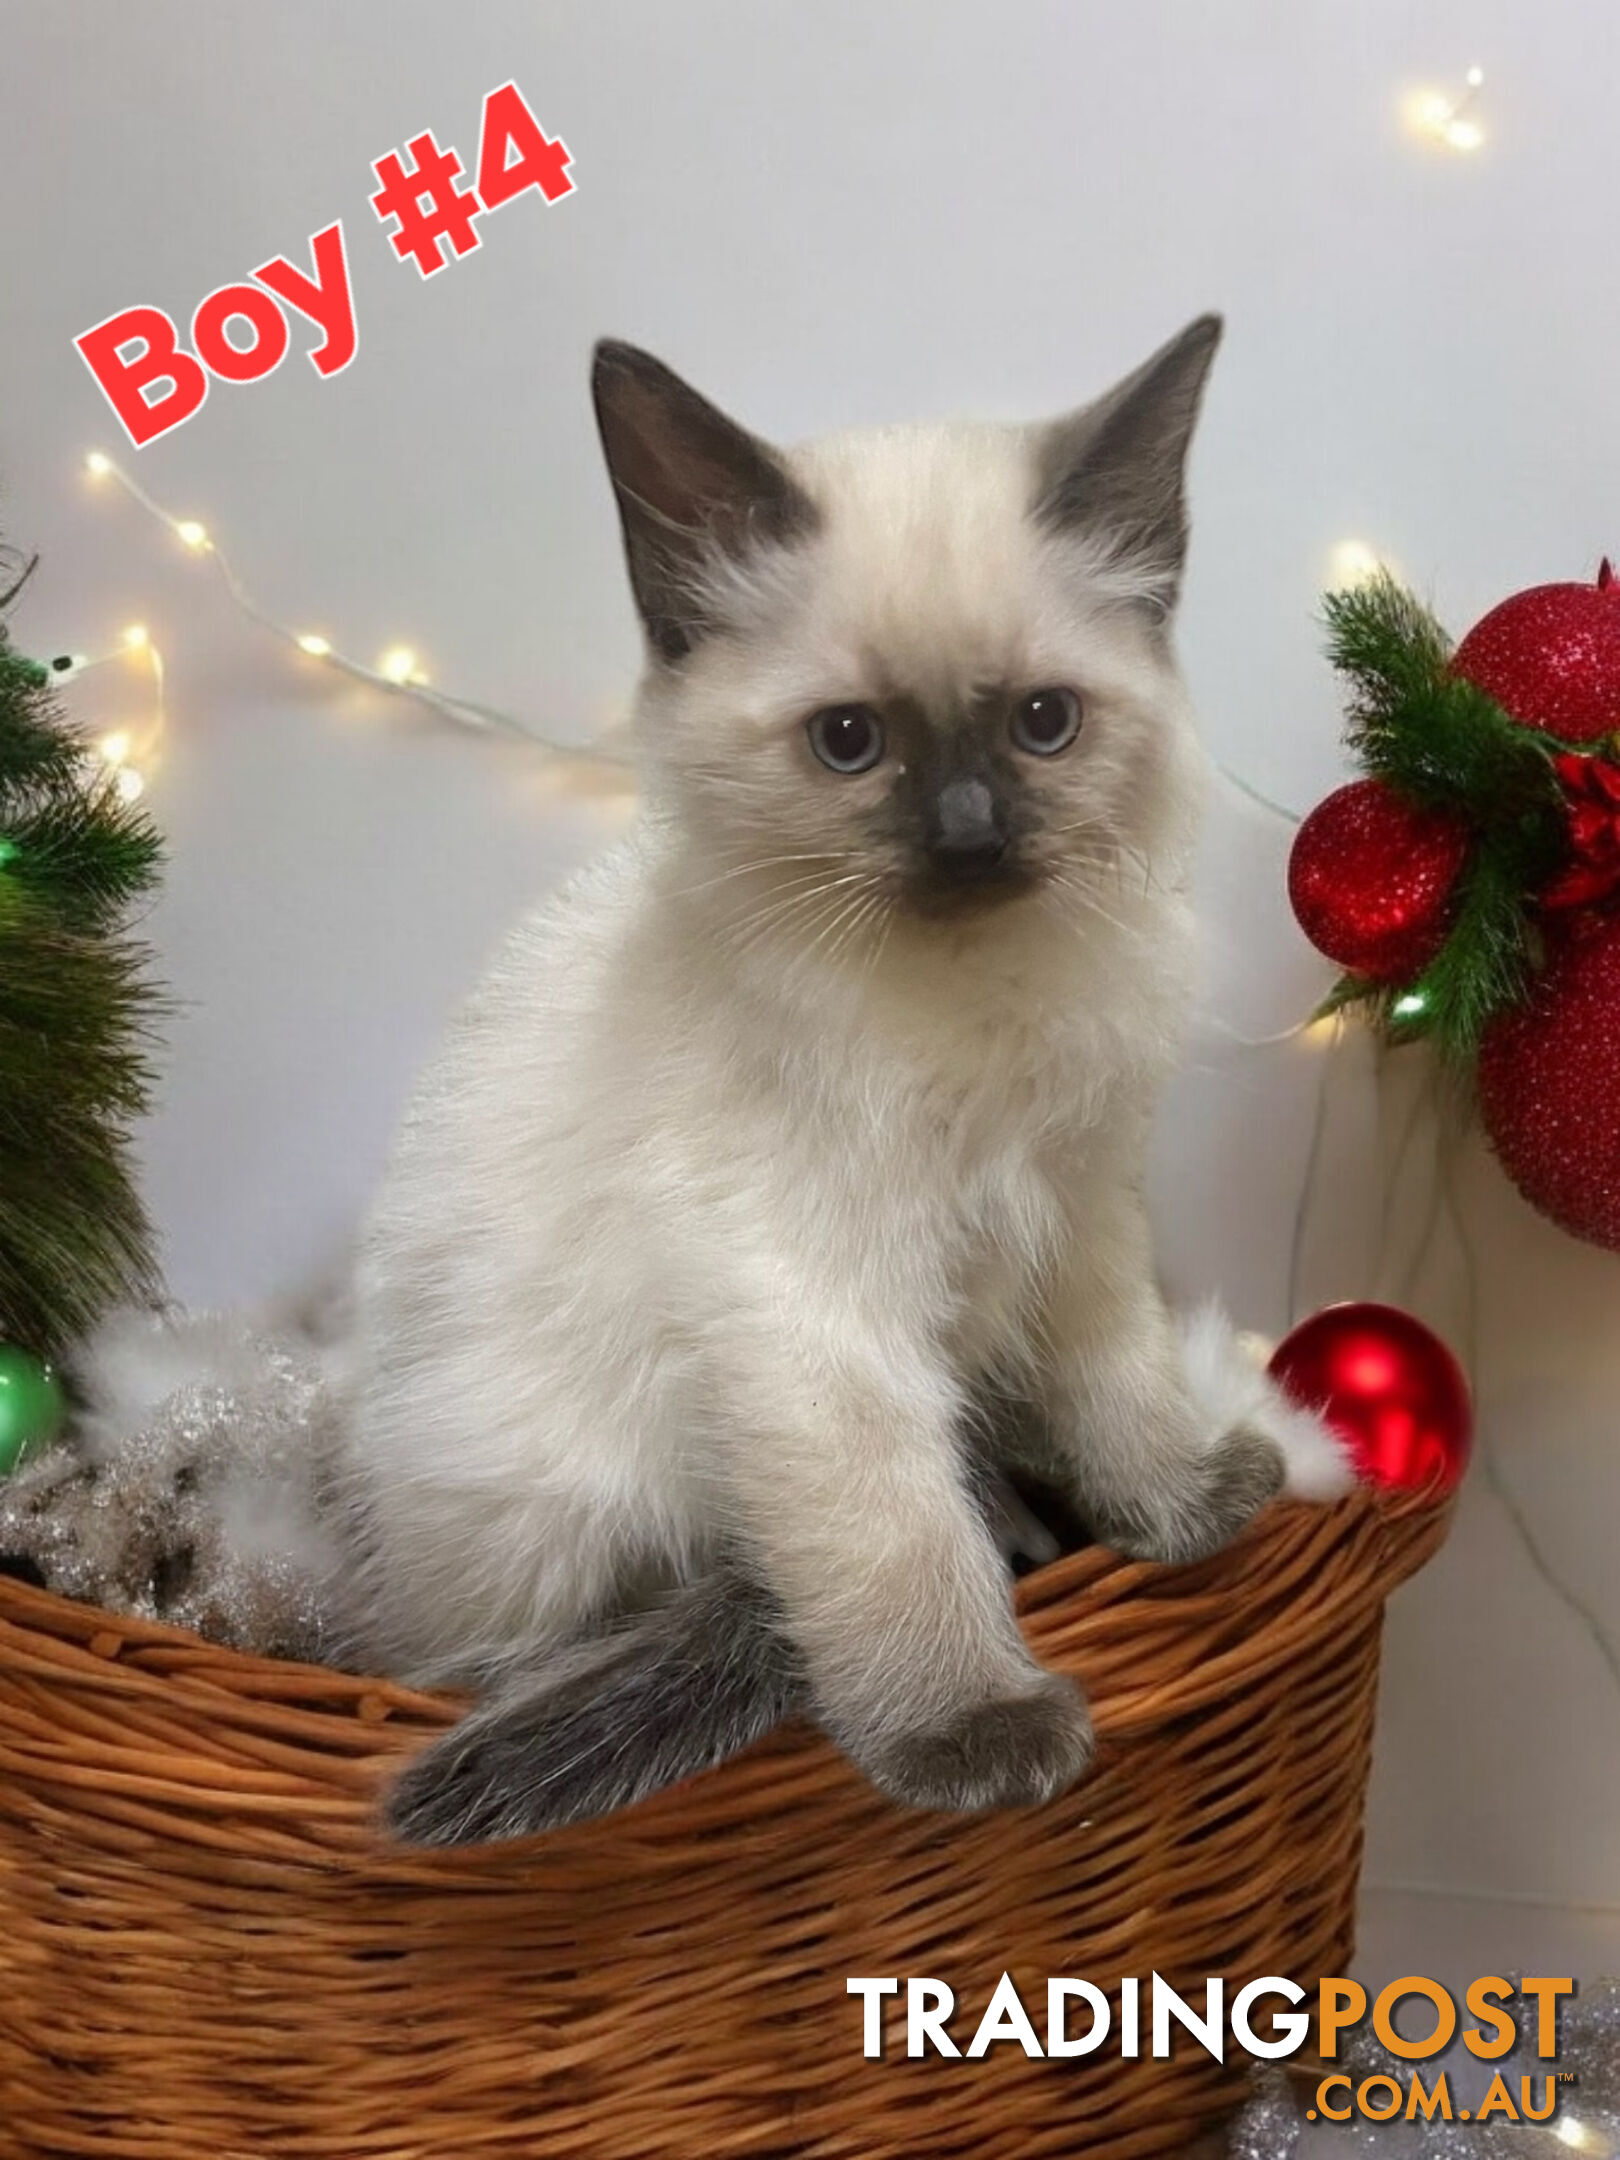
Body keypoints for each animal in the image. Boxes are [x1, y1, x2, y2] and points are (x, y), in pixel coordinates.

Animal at [311, 315, 1347, 1840]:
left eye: (1044, 724)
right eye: (850, 742)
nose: (970, 835)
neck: (970, 1003)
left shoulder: (1078, 1205)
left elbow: (1118, 1375)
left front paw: (1182, 1507)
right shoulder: (812, 1303)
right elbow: (893, 1526)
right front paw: (972, 1728)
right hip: (557, 1524)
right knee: (573, 1634)